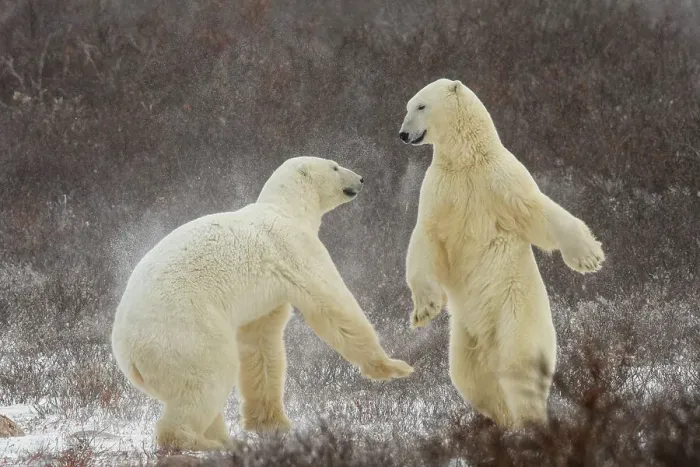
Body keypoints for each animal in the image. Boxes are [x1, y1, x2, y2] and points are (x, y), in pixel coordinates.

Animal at [111, 156, 414, 451]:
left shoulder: (264, 297)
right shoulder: (294, 248)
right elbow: (332, 303)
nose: (360, 179)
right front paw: (394, 367)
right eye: (335, 166)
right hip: (184, 335)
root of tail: (128, 355)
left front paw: (271, 422)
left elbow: (260, 341)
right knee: (208, 378)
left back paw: (222, 437)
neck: (286, 209)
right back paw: (203, 441)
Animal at [398, 78, 605, 428]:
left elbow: (538, 212)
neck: (467, 161)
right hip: (465, 338)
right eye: (408, 106)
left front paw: (589, 257)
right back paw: (503, 419)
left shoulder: (500, 180)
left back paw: (529, 420)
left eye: (421, 105)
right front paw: (424, 309)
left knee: (519, 366)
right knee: (471, 379)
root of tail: (488, 344)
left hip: (515, 310)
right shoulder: (441, 192)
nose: (402, 133)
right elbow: (426, 240)